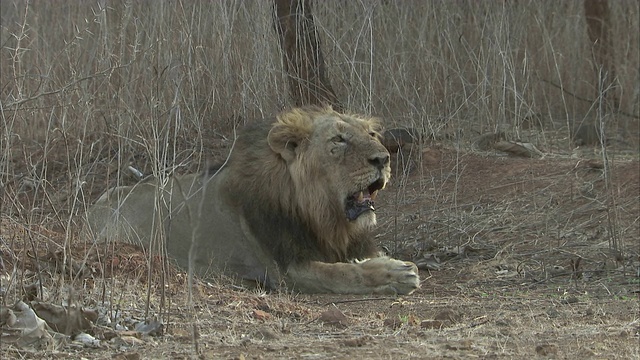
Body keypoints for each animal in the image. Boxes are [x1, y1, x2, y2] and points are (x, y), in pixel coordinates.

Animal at [86, 105, 420, 294]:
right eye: (338, 140)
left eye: (371, 135)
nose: (383, 159)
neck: (321, 215)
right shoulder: (286, 271)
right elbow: (342, 273)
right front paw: (397, 274)